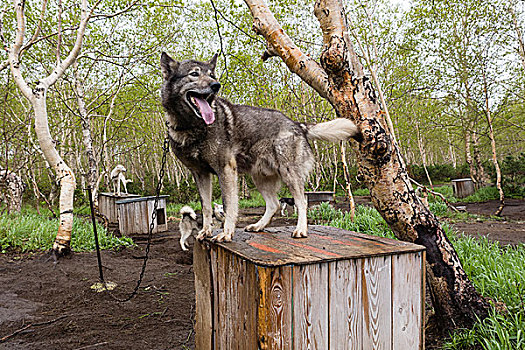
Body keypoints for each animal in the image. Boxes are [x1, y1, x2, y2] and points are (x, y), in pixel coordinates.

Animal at [160, 52, 356, 242]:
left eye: (211, 75)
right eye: (194, 74)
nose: (216, 85)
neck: (192, 126)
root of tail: (297, 125)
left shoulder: (226, 170)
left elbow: (228, 205)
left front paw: (226, 233)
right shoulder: (200, 174)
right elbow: (206, 207)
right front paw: (206, 231)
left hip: (289, 174)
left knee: (302, 201)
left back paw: (300, 229)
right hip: (260, 178)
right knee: (274, 204)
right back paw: (258, 226)